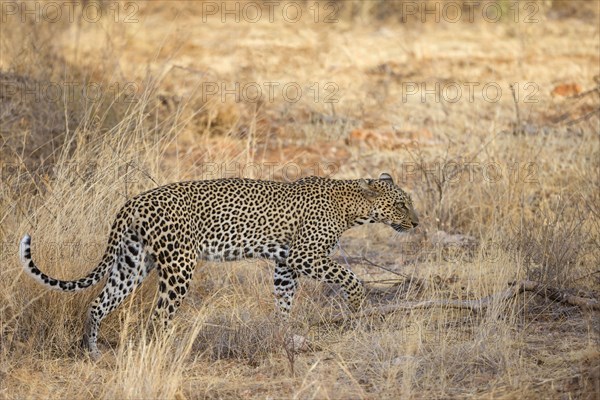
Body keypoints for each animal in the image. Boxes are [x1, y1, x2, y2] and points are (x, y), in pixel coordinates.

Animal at [21, 172, 420, 360]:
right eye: (402, 204)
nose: (417, 223)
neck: (352, 207)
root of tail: (134, 201)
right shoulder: (303, 255)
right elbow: (351, 277)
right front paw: (357, 308)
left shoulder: (284, 264)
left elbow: (284, 301)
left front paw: (284, 335)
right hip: (179, 264)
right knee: (159, 315)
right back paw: (167, 352)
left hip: (133, 262)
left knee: (98, 303)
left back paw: (92, 352)